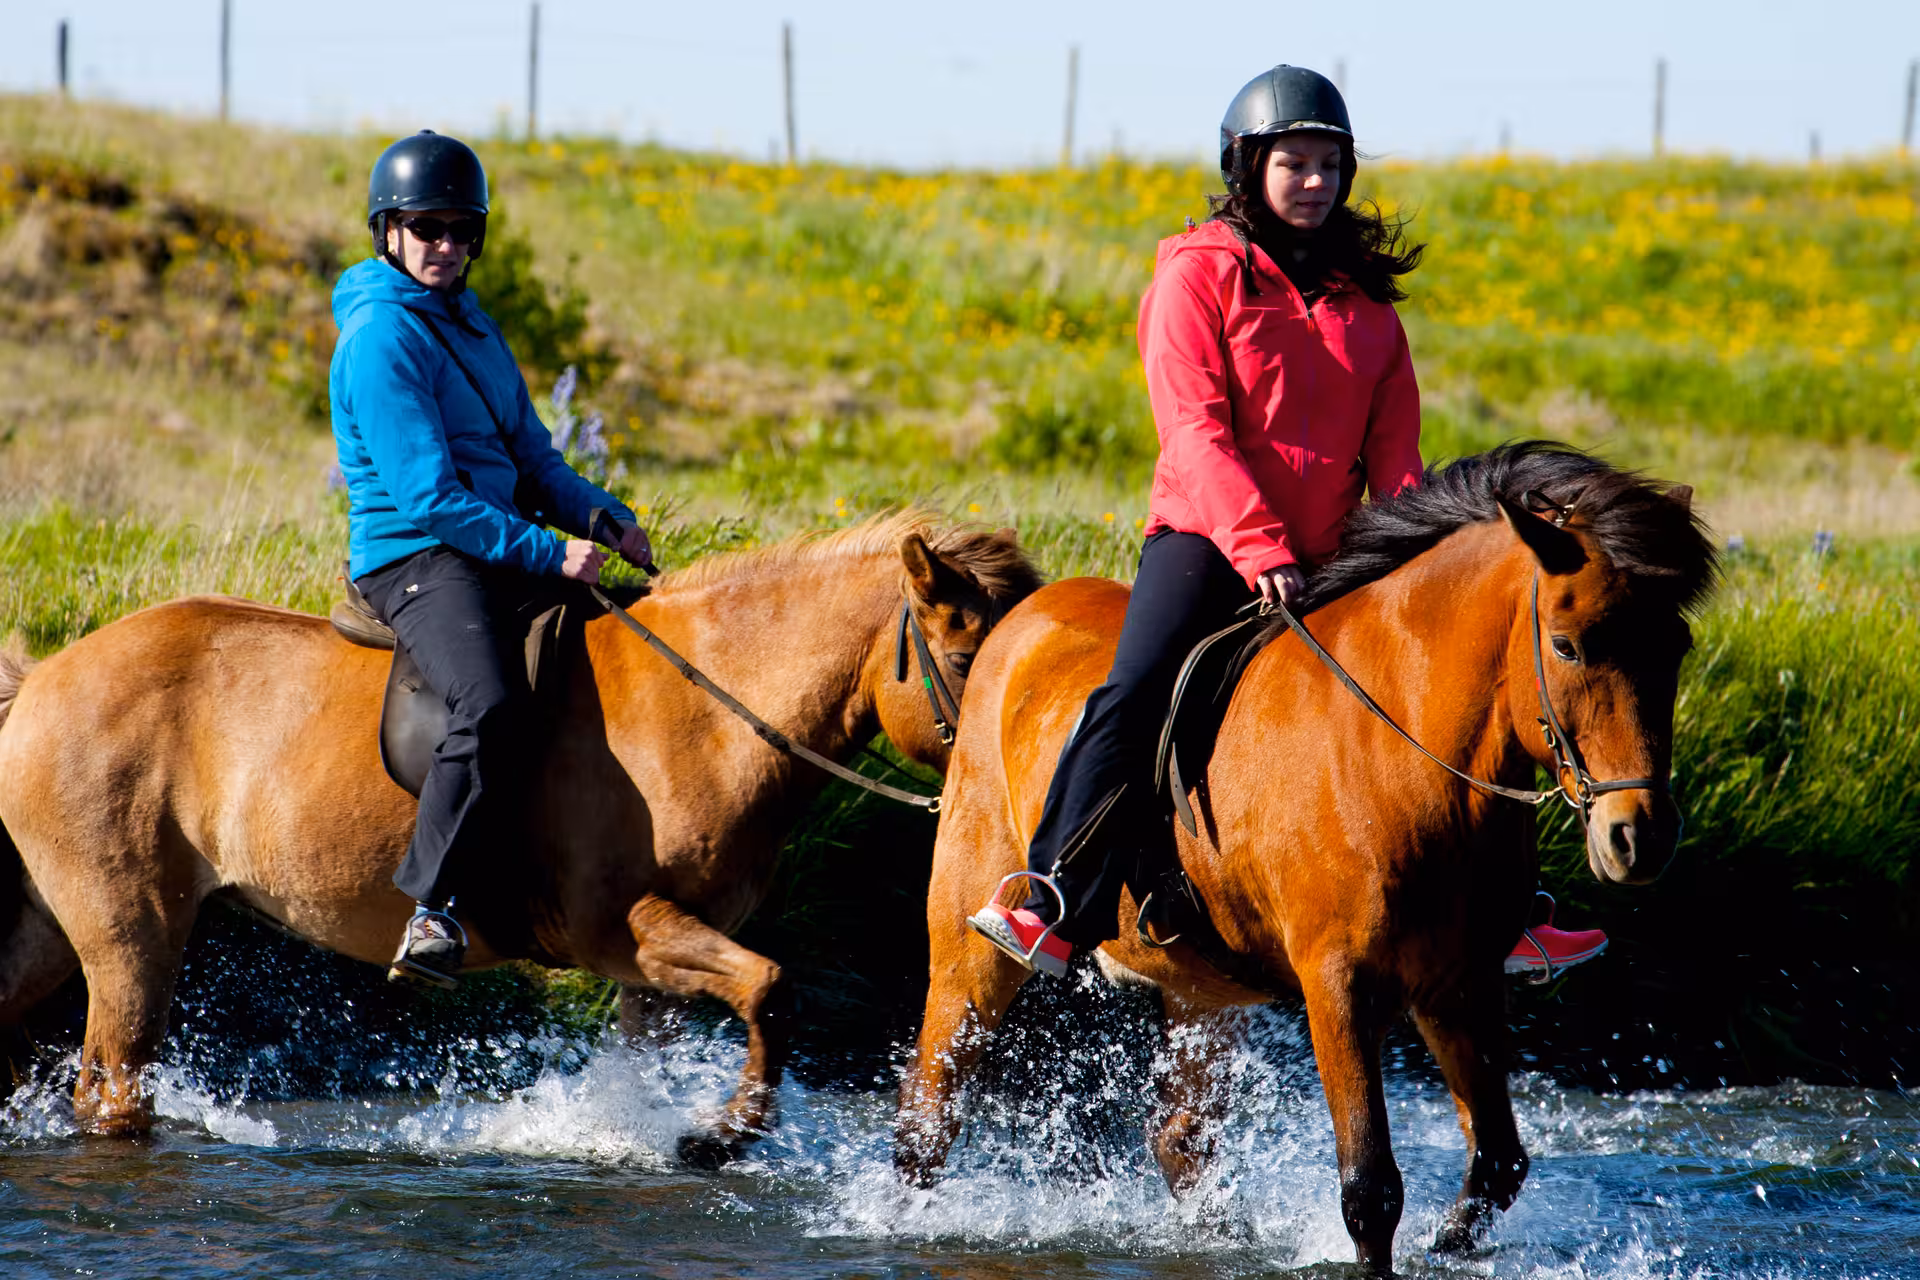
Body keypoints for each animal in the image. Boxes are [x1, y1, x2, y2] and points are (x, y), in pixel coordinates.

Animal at [0, 512, 1042, 1159]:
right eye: (964, 658)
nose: (1016, 791)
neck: (704, 710)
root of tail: (46, 676)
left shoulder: (653, 966)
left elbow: (686, 1040)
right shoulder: (618, 927)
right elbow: (774, 988)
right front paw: (725, 1135)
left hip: (55, 928)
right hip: (132, 933)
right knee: (112, 1091)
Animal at [894, 444, 1717, 1271]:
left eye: (1676, 647)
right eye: (1567, 644)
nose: (1639, 835)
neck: (1404, 753)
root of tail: (1019, 624)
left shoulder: (1462, 985)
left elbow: (1497, 1164)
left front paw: (1448, 1247)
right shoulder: (1339, 985)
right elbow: (1370, 1189)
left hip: (1204, 992)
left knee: (1181, 1140)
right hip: (970, 947)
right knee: (927, 1122)